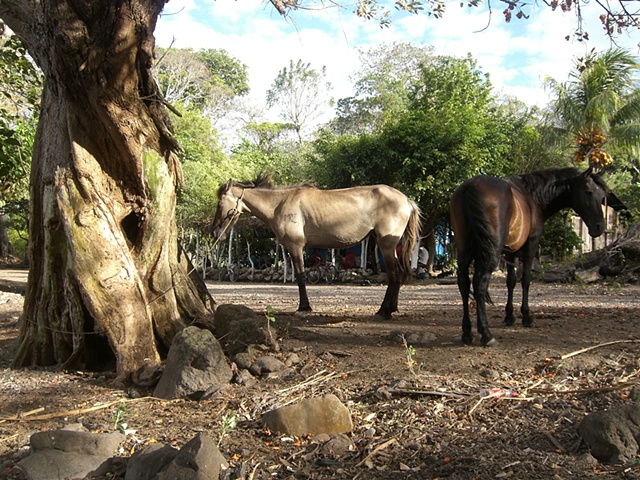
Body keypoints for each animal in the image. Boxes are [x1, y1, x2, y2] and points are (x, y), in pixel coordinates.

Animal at [448, 168, 624, 344]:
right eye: (589, 192)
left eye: (601, 195)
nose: (599, 227)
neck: (531, 195)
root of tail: (470, 187)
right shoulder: (531, 245)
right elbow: (526, 279)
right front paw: (526, 316)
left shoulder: (511, 251)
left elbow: (511, 281)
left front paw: (509, 316)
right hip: (490, 252)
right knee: (480, 283)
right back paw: (486, 334)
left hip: (465, 249)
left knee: (464, 283)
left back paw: (467, 333)